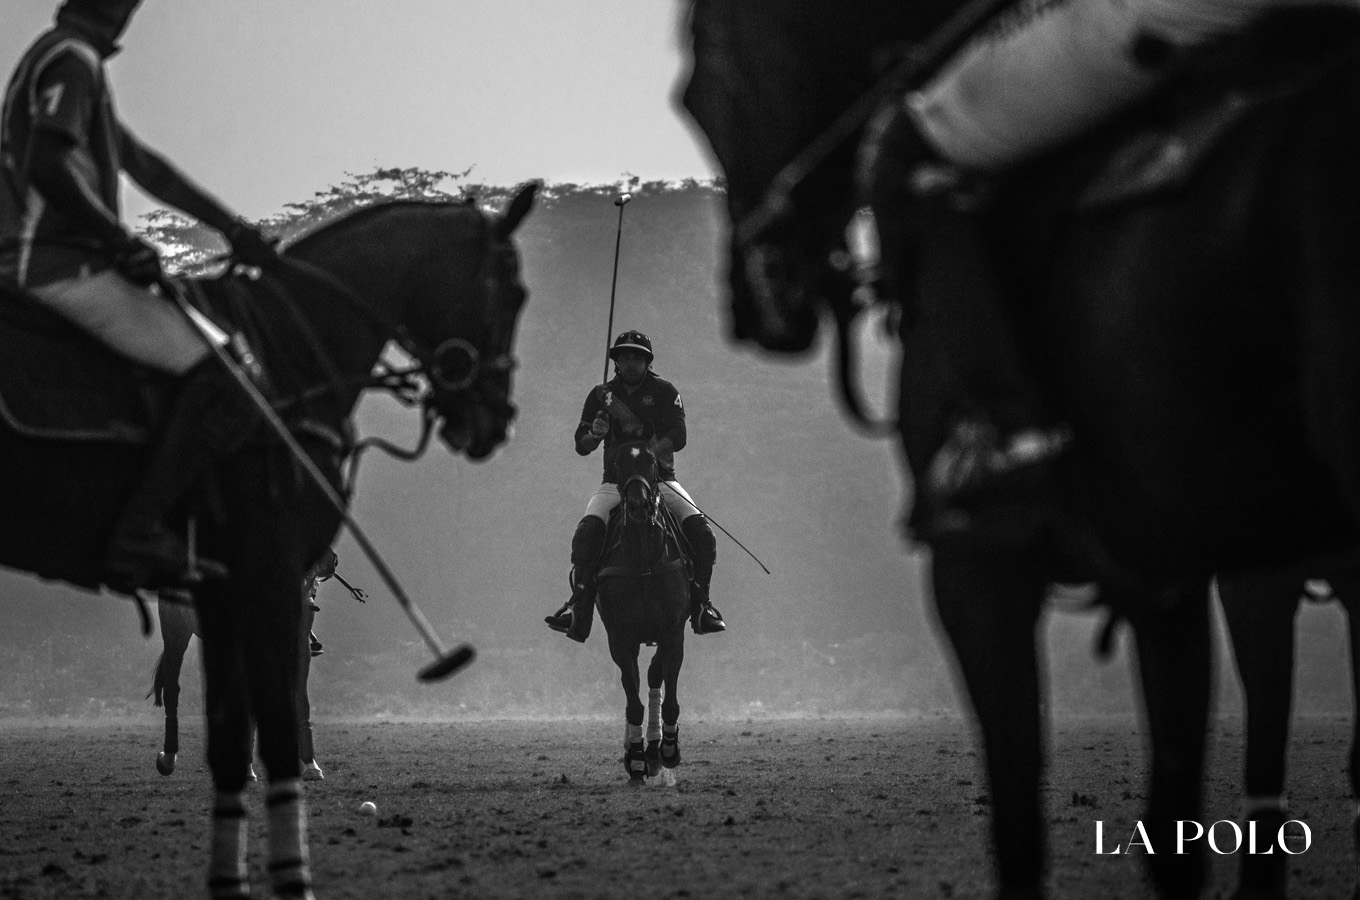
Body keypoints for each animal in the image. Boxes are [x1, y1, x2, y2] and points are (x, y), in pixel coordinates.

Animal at [0, 184, 538, 900]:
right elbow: (261, 716)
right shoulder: (258, 583)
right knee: (175, 681)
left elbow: (280, 707)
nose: (491, 424)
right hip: (181, 622)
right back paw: (168, 755)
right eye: (511, 292)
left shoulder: (271, 609)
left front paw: (302, 774)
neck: (290, 360)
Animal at [592, 440, 690, 777]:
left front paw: (668, 749)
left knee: (653, 676)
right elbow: (632, 699)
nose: (638, 506)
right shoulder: (620, 638)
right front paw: (635, 757)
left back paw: (656, 747)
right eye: (619, 463)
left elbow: (668, 695)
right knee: (635, 682)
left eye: (651, 461)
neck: (644, 560)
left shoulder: (673, 632)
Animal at [685, 3, 1360, 897]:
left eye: (702, 91)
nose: (751, 302)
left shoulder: (981, 569)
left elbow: (1018, 818)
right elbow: (1171, 820)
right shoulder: (1165, 575)